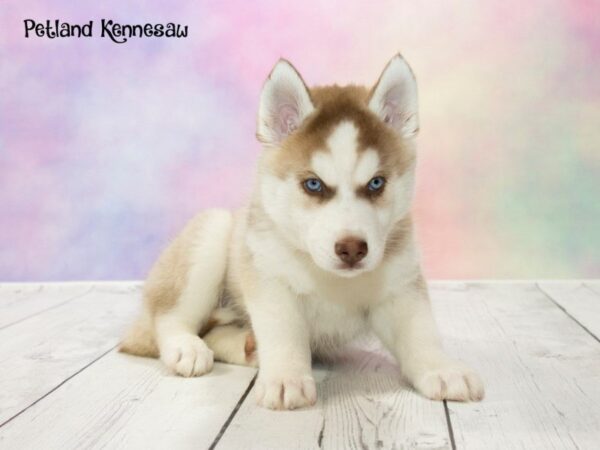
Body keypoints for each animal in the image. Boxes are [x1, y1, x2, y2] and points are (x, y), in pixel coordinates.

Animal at [120, 54, 482, 410]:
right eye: (313, 184)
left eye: (376, 183)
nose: (352, 249)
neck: (332, 279)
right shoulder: (271, 281)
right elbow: (284, 333)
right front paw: (286, 379)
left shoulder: (401, 287)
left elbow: (420, 332)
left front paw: (443, 369)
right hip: (211, 233)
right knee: (166, 321)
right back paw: (187, 348)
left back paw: (246, 346)